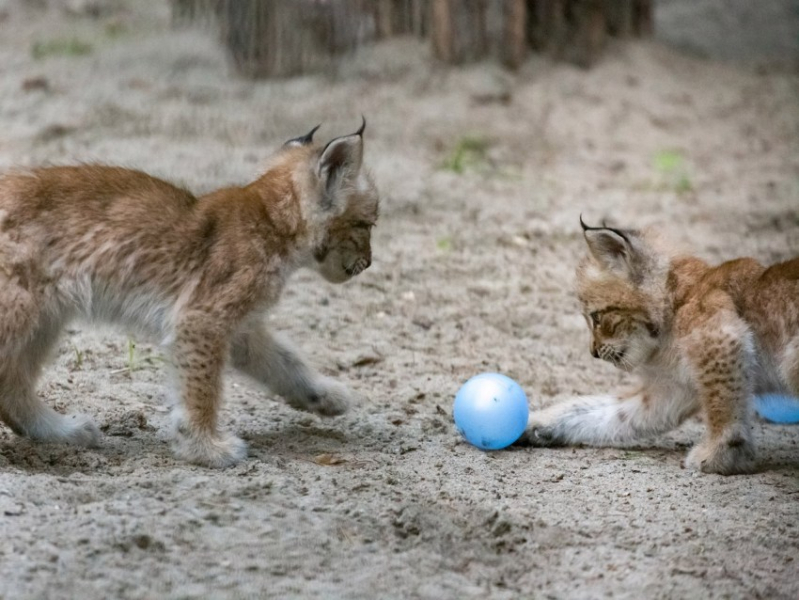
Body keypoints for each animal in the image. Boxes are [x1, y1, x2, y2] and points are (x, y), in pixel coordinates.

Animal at [520, 218, 796, 476]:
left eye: (596, 317)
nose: (594, 353)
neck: (674, 305)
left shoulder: (720, 338)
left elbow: (722, 403)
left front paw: (721, 455)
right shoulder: (669, 390)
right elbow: (603, 413)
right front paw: (534, 423)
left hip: (790, 360)